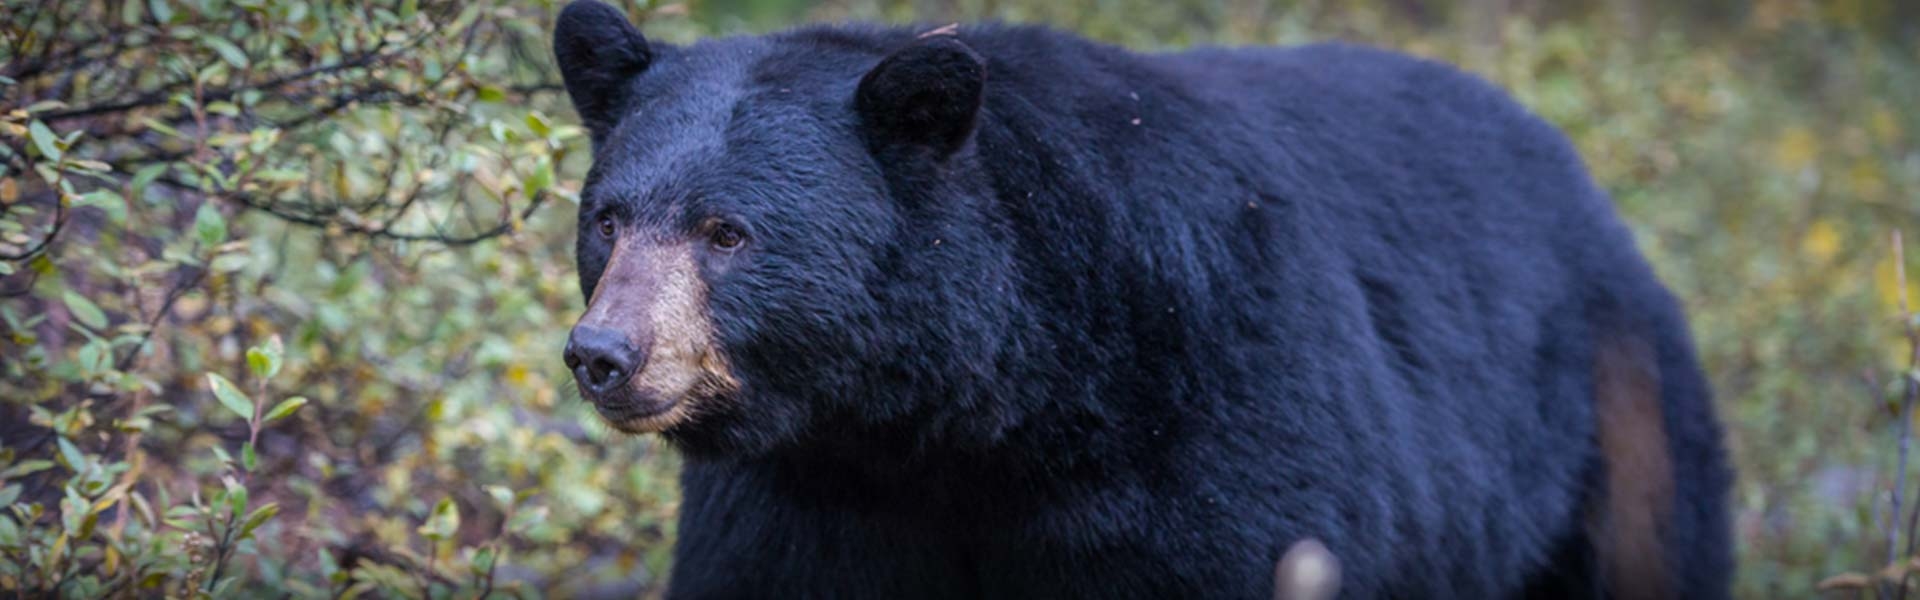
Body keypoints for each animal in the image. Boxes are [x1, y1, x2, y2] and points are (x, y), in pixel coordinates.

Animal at [549, 2, 1735, 596]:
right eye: (608, 217)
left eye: (728, 232)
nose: (604, 353)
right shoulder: (806, 502)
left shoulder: (1216, 437)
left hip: (1608, 440)